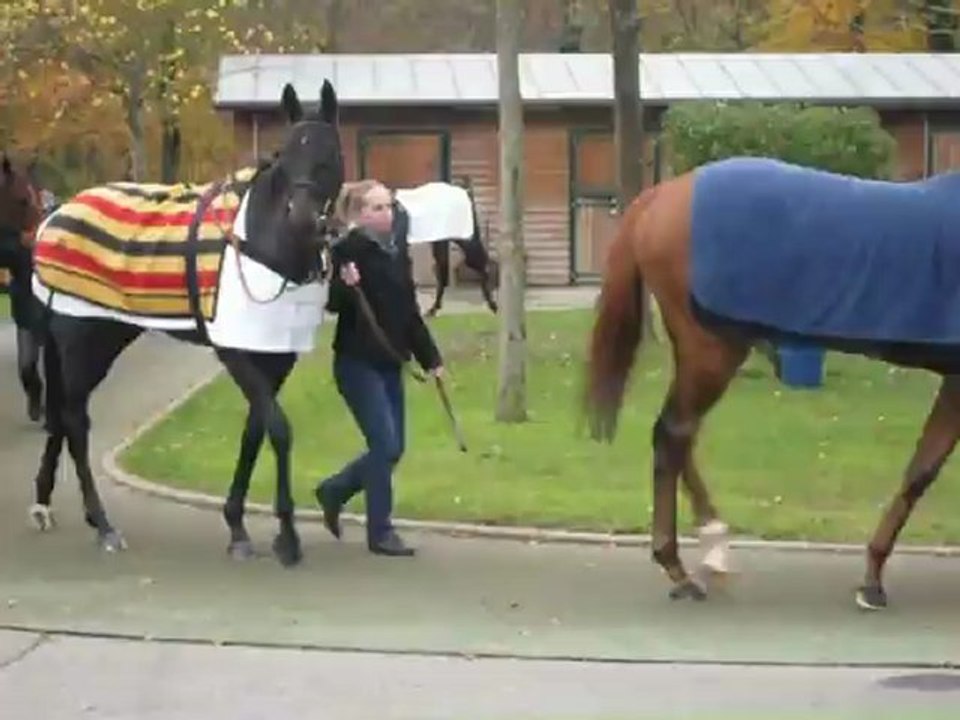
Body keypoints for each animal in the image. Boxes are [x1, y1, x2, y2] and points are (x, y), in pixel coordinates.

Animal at [26, 80, 345, 568]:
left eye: (328, 153)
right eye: (285, 154)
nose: (302, 219)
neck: (262, 243)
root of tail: (54, 218)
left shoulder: (277, 355)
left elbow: (255, 430)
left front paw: (238, 526)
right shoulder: (234, 352)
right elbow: (278, 428)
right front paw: (287, 536)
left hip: (107, 336)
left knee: (62, 417)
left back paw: (49, 505)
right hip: (80, 339)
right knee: (75, 421)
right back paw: (104, 525)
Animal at [582, 155, 960, 612]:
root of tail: (663, 193)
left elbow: (921, 468)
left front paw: (871, 579)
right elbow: (922, 472)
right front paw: (872, 582)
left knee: (679, 436)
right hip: (711, 351)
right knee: (672, 435)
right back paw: (683, 567)